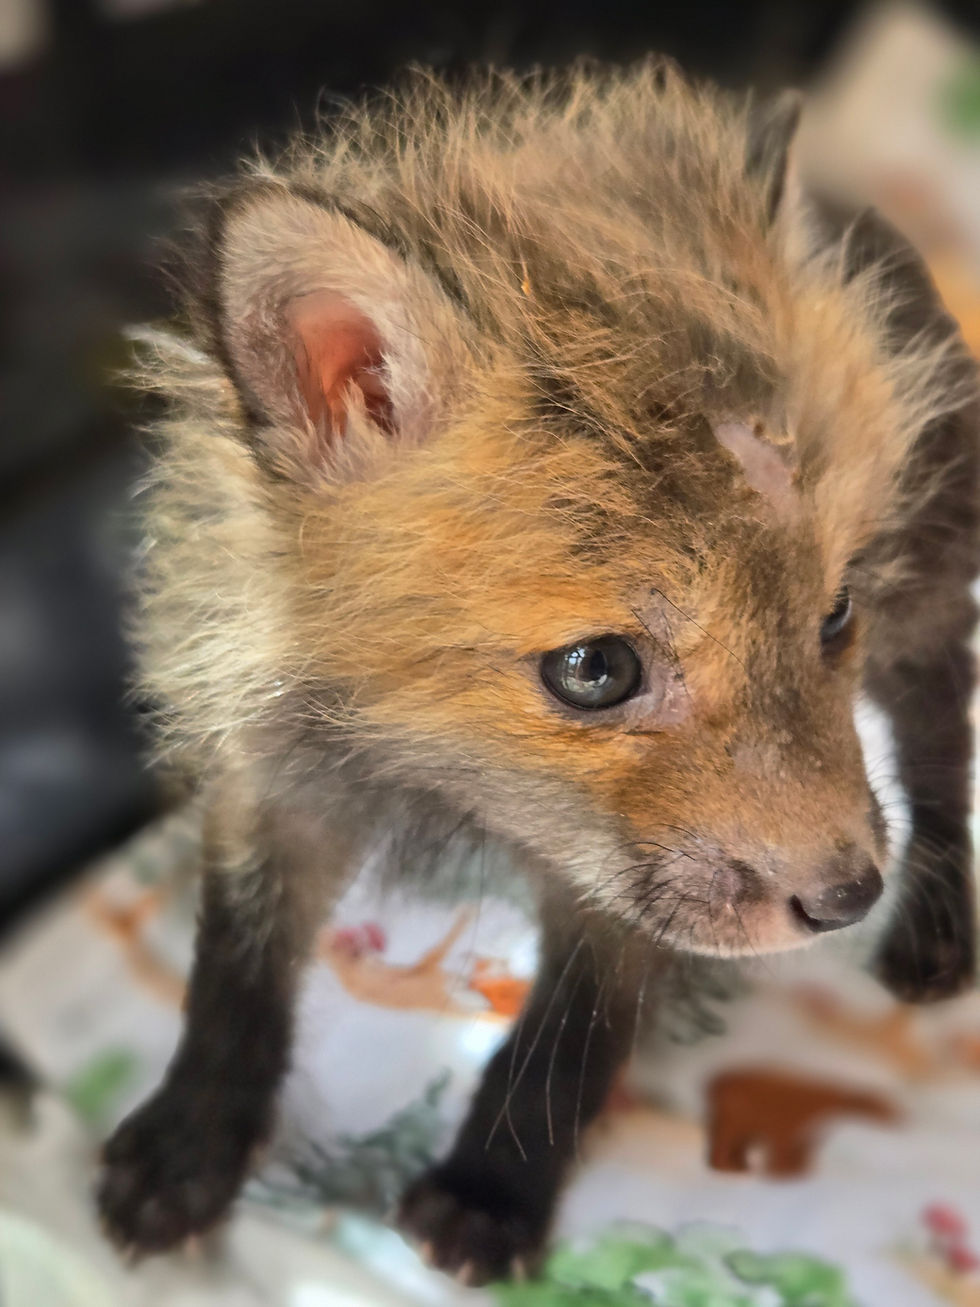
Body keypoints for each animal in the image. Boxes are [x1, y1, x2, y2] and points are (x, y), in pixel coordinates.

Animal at [97, 62, 979, 1282]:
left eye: (831, 612)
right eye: (596, 668)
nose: (846, 897)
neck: (439, 772)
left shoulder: (622, 877)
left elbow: (569, 1032)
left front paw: (491, 1187)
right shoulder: (276, 771)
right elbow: (232, 974)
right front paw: (188, 1143)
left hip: (927, 596)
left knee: (941, 734)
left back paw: (938, 917)